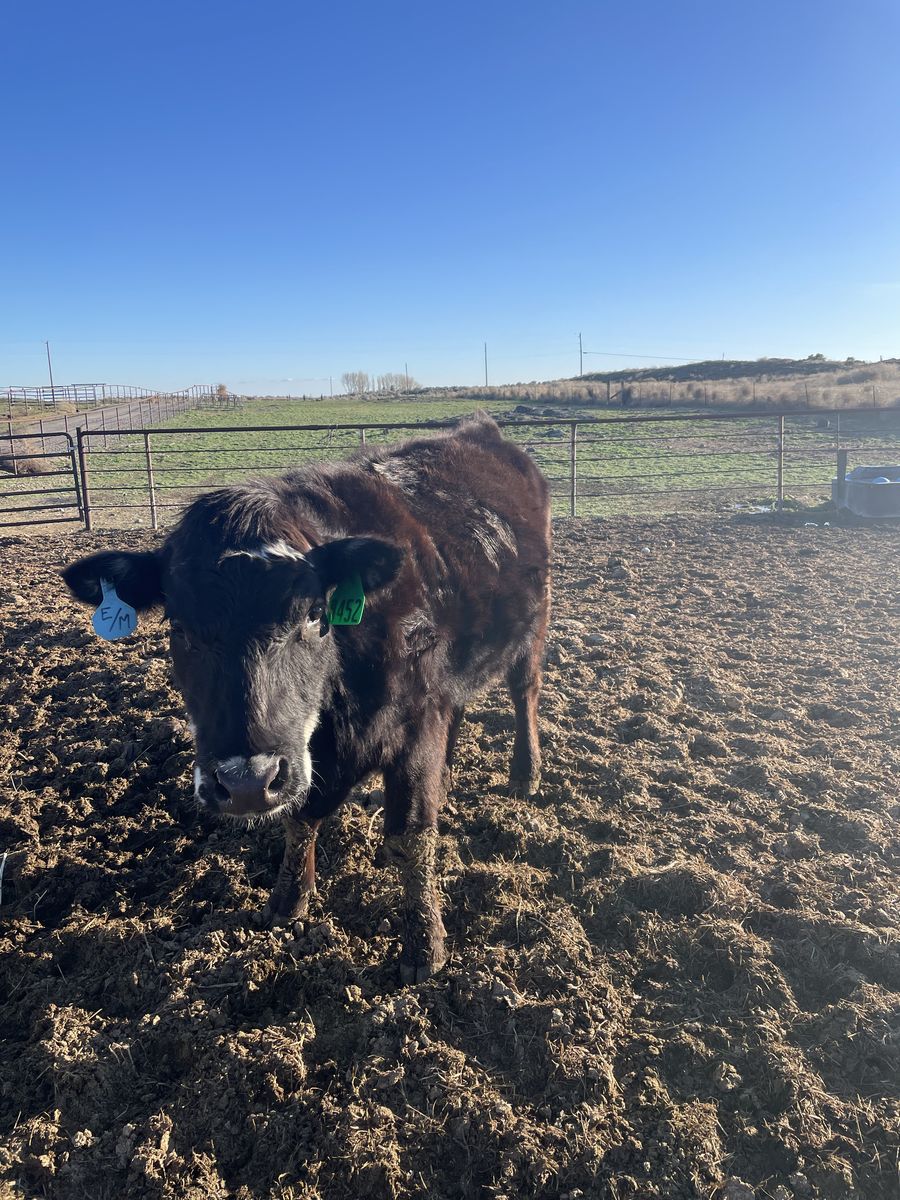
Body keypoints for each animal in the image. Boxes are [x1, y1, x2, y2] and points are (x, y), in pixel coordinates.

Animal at [62, 415, 551, 982]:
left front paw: (423, 947)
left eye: (316, 614)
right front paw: (288, 901)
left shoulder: (414, 722)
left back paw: (525, 775)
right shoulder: (314, 752)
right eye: (178, 628)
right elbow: (302, 817)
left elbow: (412, 835)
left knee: (524, 692)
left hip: (533, 625)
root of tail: (483, 431)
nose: (245, 783)